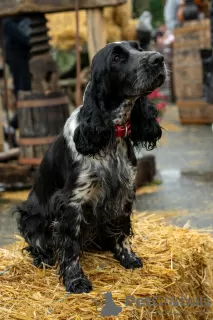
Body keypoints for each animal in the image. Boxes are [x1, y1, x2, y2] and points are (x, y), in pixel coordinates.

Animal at [16, 41, 166, 294]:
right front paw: (75, 281)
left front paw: (128, 258)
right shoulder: (72, 202)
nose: (158, 59)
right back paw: (43, 258)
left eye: (138, 48)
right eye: (117, 58)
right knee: (37, 244)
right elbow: (69, 247)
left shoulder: (125, 191)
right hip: (30, 217)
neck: (110, 135)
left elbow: (122, 231)